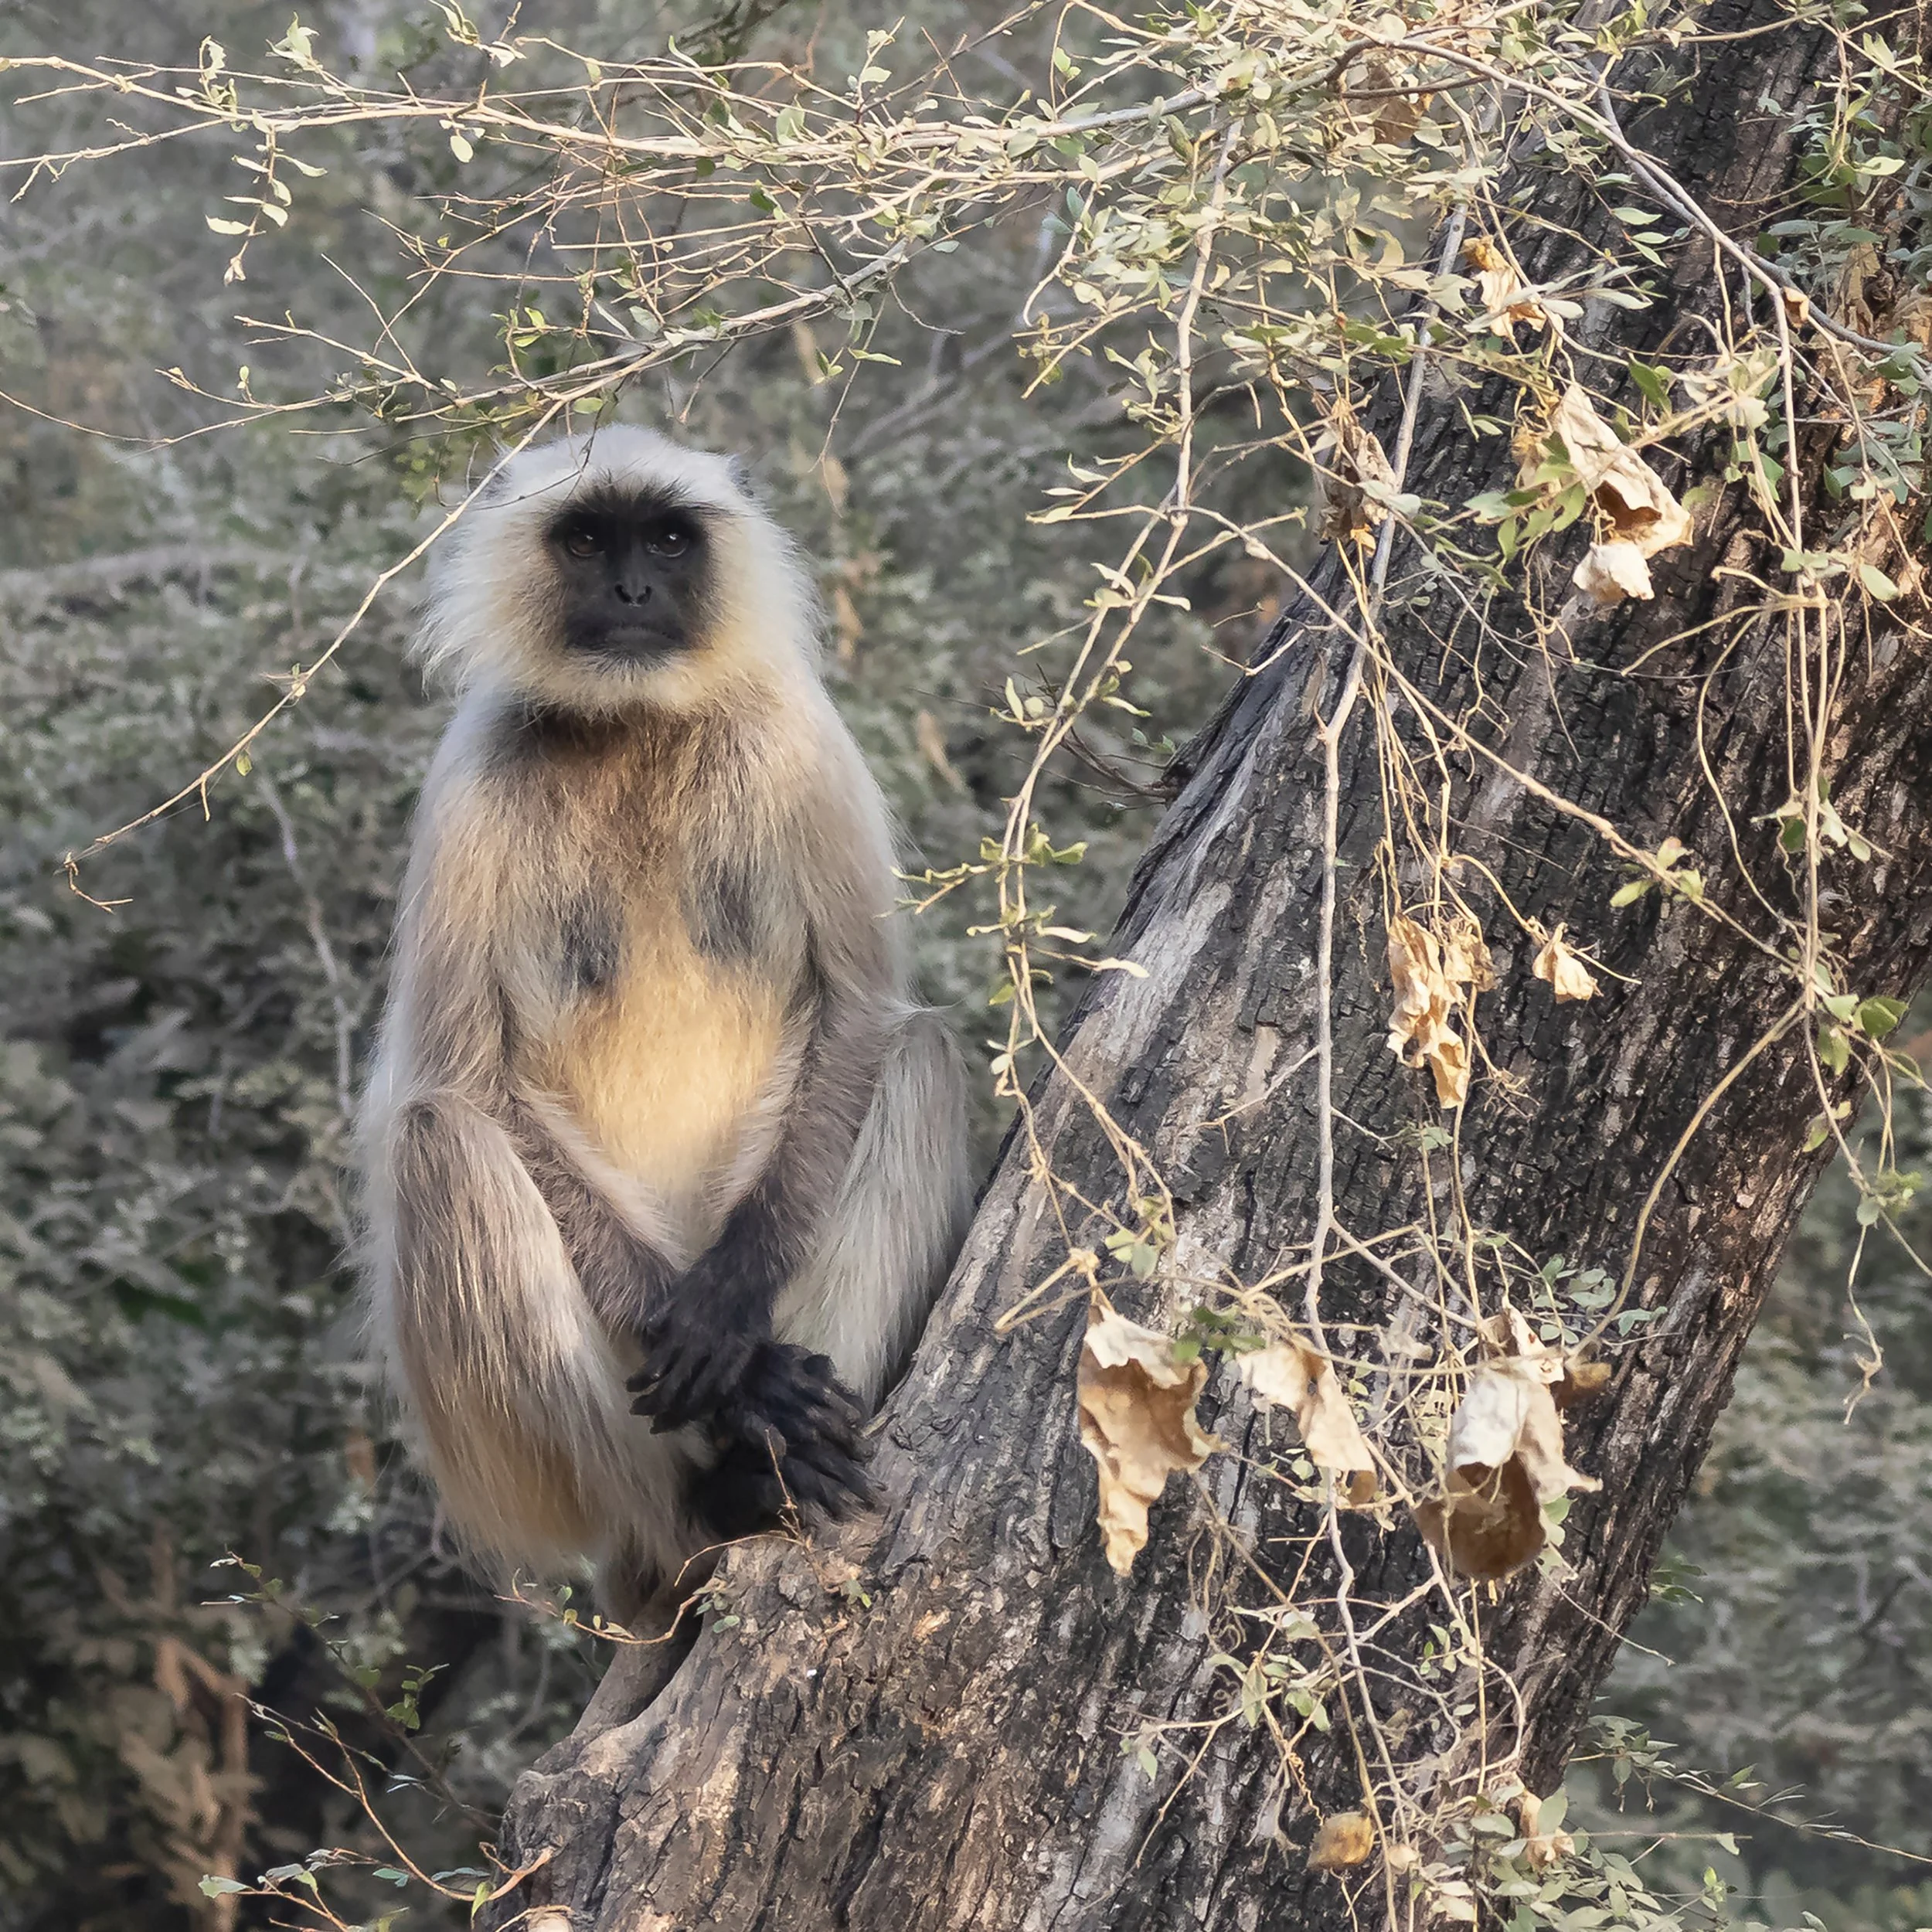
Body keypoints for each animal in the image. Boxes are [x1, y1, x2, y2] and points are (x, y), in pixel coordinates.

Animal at [358, 425, 973, 1626]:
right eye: (590, 539)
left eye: (671, 540)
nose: (635, 589)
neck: (635, 725)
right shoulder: (472, 777)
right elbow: (465, 1079)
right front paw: (742, 1374)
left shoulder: (796, 733)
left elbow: (861, 1012)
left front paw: (728, 1315)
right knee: (440, 1142)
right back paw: (719, 1497)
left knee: (920, 1054)